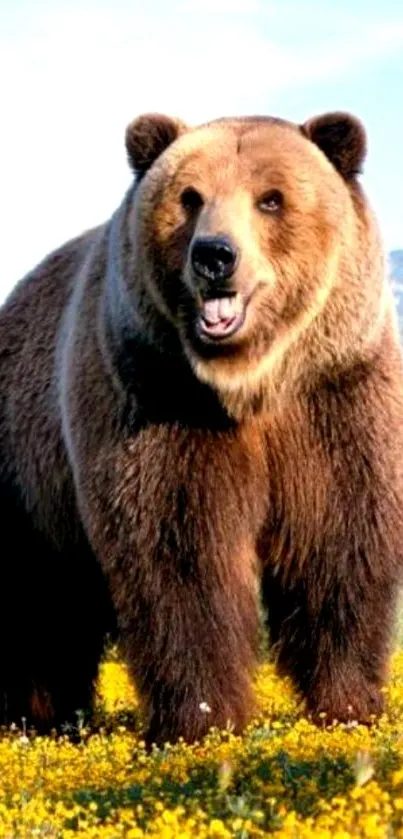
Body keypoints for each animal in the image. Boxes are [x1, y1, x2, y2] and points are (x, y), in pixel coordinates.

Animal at [0, 108, 403, 744]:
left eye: (271, 198)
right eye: (190, 197)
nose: (215, 255)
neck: (250, 385)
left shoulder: (334, 395)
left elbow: (339, 541)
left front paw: (350, 704)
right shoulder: (157, 397)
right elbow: (182, 555)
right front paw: (201, 718)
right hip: (26, 468)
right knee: (34, 600)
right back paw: (35, 717)